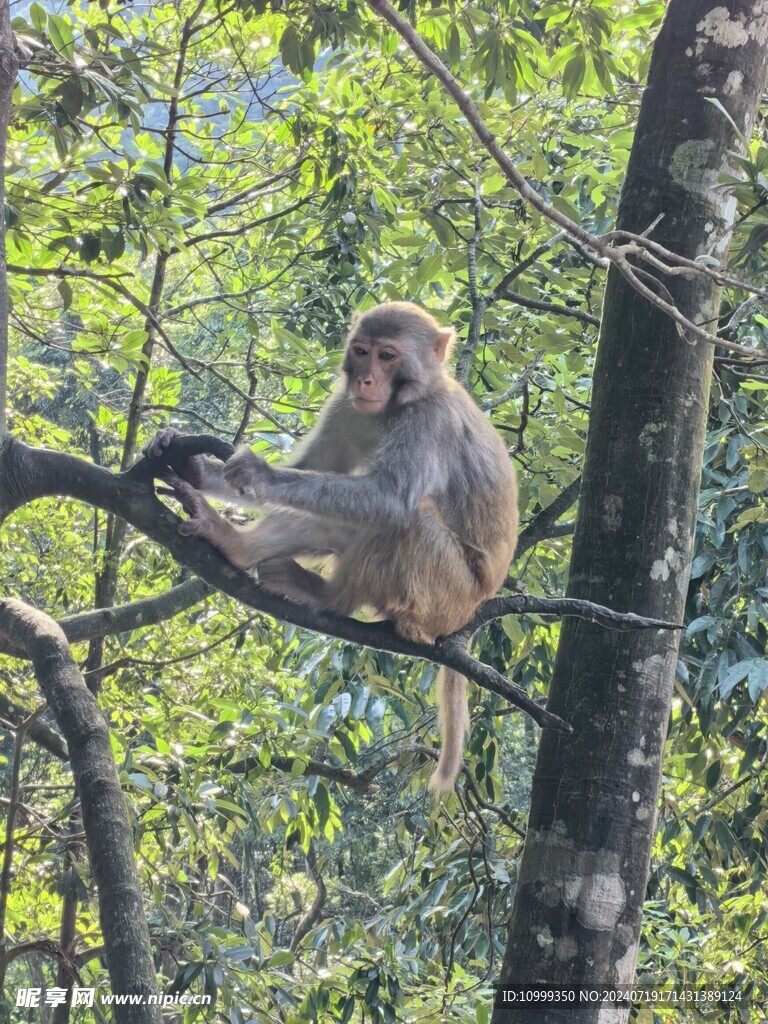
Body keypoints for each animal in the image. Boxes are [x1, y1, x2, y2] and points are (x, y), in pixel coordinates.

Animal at [147, 299, 520, 794]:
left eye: (388, 356)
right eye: (361, 352)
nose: (366, 380)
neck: (398, 404)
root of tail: (473, 611)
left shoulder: (429, 421)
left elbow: (389, 498)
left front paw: (261, 473)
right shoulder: (346, 407)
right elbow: (313, 467)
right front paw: (191, 464)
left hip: (446, 593)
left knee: (408, 515)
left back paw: (334, 599)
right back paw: (236, 544)